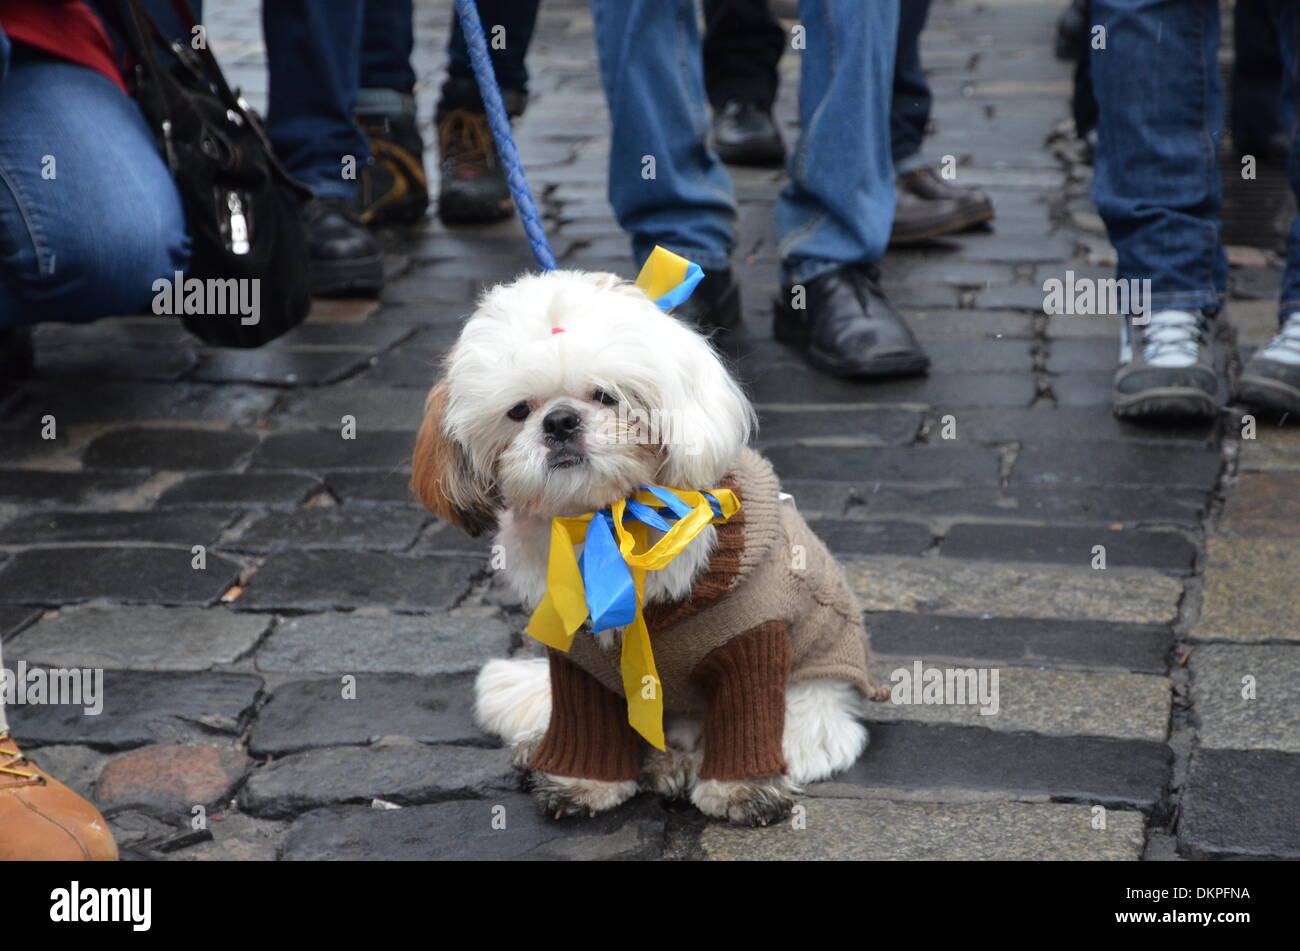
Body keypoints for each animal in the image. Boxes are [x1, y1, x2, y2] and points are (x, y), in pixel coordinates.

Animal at [410, 267, 889, 826]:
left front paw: (740, 789)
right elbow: (585, 723)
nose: (560, 422)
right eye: (518, 411)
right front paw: (582, 781)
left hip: (812, 698)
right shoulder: (577, 655)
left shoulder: (751, 639)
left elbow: (747, 720)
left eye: (606, 396)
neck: (606, 521)